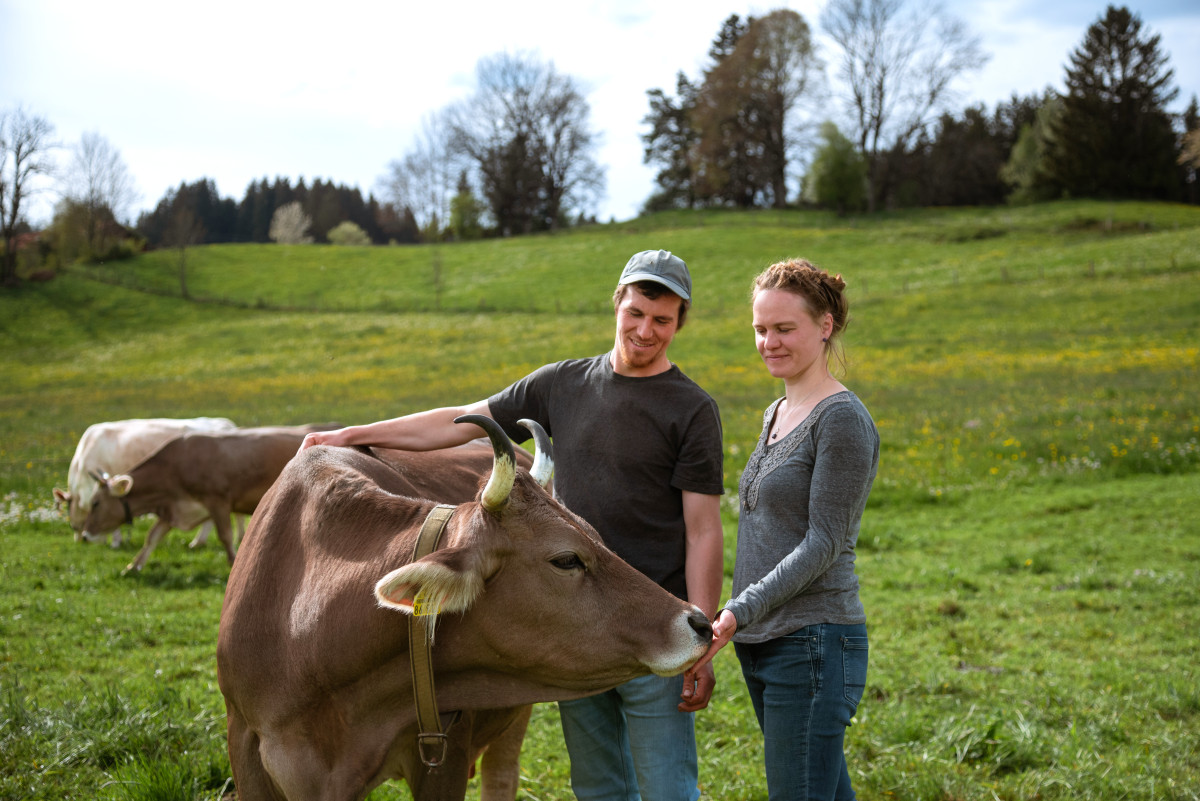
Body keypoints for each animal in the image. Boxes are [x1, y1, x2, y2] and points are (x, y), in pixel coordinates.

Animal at [82, 422, 338, 573]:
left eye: (95, 503)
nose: (84, 535)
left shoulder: (218, 501)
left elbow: (225, 536)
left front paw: (233, 563)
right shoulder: (173, 509)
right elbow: (152, 537)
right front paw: (133, 566)